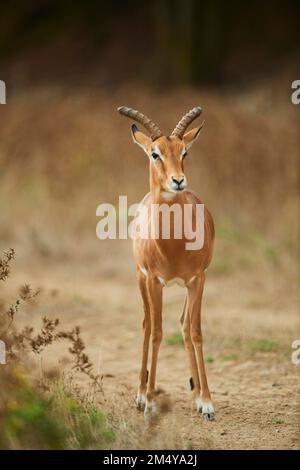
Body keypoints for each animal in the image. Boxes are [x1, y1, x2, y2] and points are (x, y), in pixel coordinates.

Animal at [118, 104, 216, 420]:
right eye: (155, 153)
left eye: (184, 152)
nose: (178, 181)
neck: (173, 245)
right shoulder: (154, 280)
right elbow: (157, 333)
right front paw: (149, 402)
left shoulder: (198, 279)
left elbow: (196, 332)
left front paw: (207, 403)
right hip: (141, 279)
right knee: (147, 325)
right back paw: (140, 395)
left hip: (186, 286)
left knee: (184, 325)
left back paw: (195, 394)